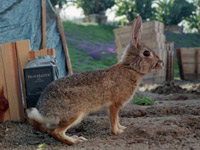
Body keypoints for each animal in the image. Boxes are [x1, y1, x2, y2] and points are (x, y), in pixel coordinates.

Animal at [26, 16, 164, 144]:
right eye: (146, 53)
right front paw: (117, 132)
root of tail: (44, 111)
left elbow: (117, 119)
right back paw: (75, 141)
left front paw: (122, 128)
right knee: (56, 132)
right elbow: (114, 119)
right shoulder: (114, 104)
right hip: (75, 113)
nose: (161, 63)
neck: (130, 68)